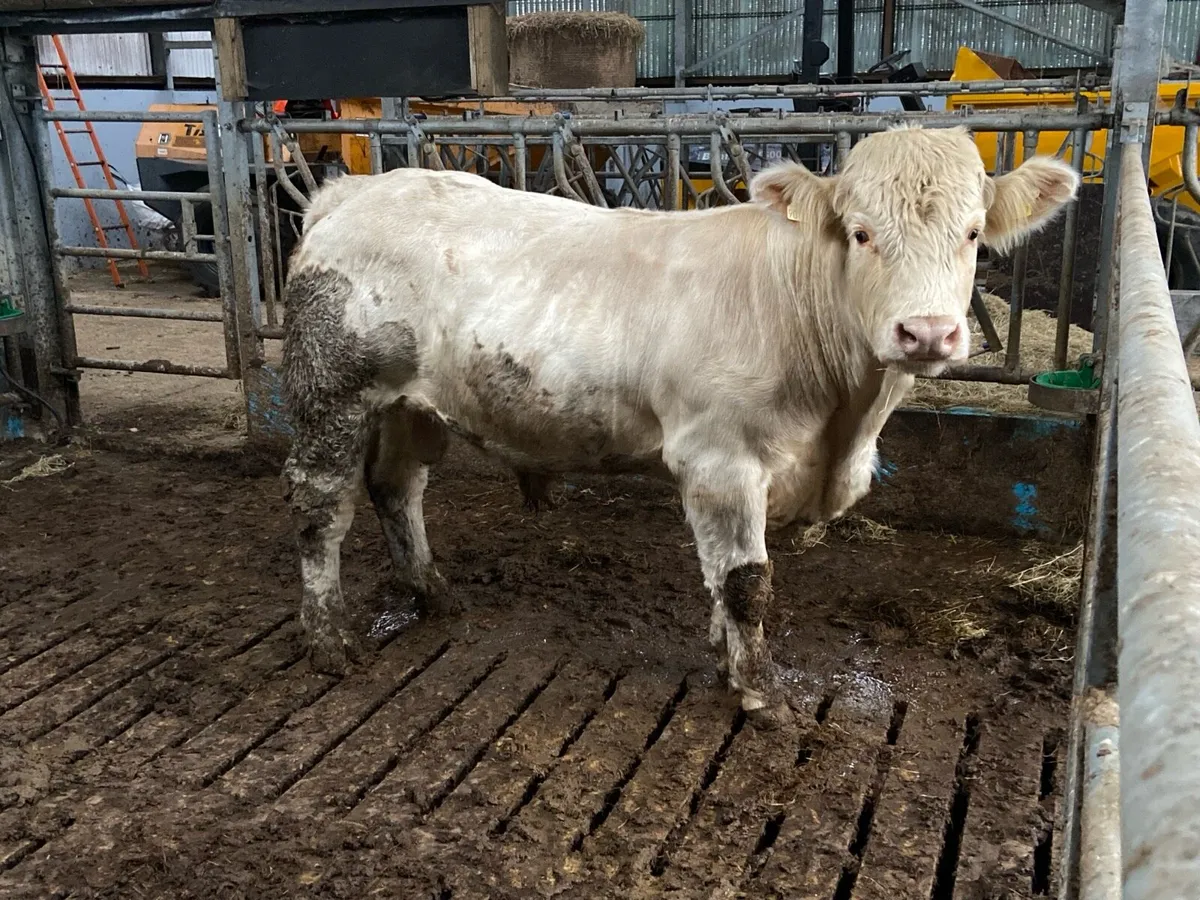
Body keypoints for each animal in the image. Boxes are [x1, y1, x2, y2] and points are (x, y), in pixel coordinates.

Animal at [281, 125, 1078, 727]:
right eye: (860, 233)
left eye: (973, 234)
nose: (928, 332)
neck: (843, 424)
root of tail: (356, 191)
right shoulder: (719, 458)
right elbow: (749, 581)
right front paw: (759, 689)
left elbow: (722, 578)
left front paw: (726, 658)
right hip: (334, 392)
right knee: (320, 507)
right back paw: (330, 637)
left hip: (409, 404)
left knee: (397, 487)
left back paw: (432, 590)